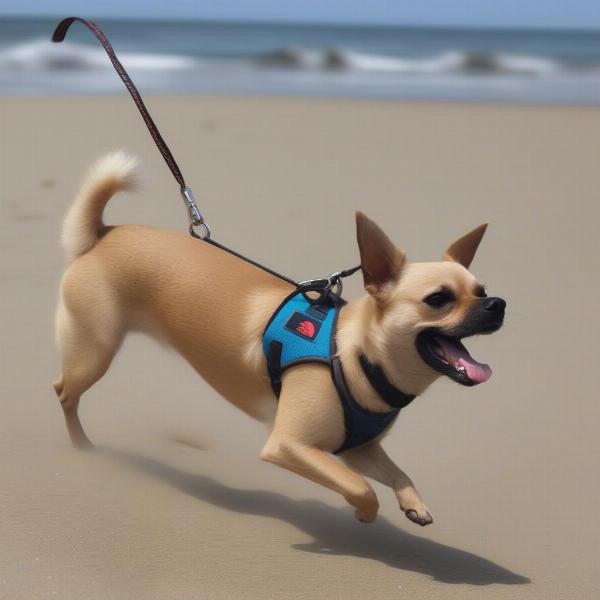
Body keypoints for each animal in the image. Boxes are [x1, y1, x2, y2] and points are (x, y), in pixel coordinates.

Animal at [54, 152, 506, 528]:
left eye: (481, 291)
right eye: (439, 300)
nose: (498, 304)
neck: (352, 353)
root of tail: (102, 233)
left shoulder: (357, 449)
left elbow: (398, 473)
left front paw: (414, 504)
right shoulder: (290, 445)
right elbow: (359, 486)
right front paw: (363, 512)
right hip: (96, 350)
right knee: (64, 392)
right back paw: (81, 446)